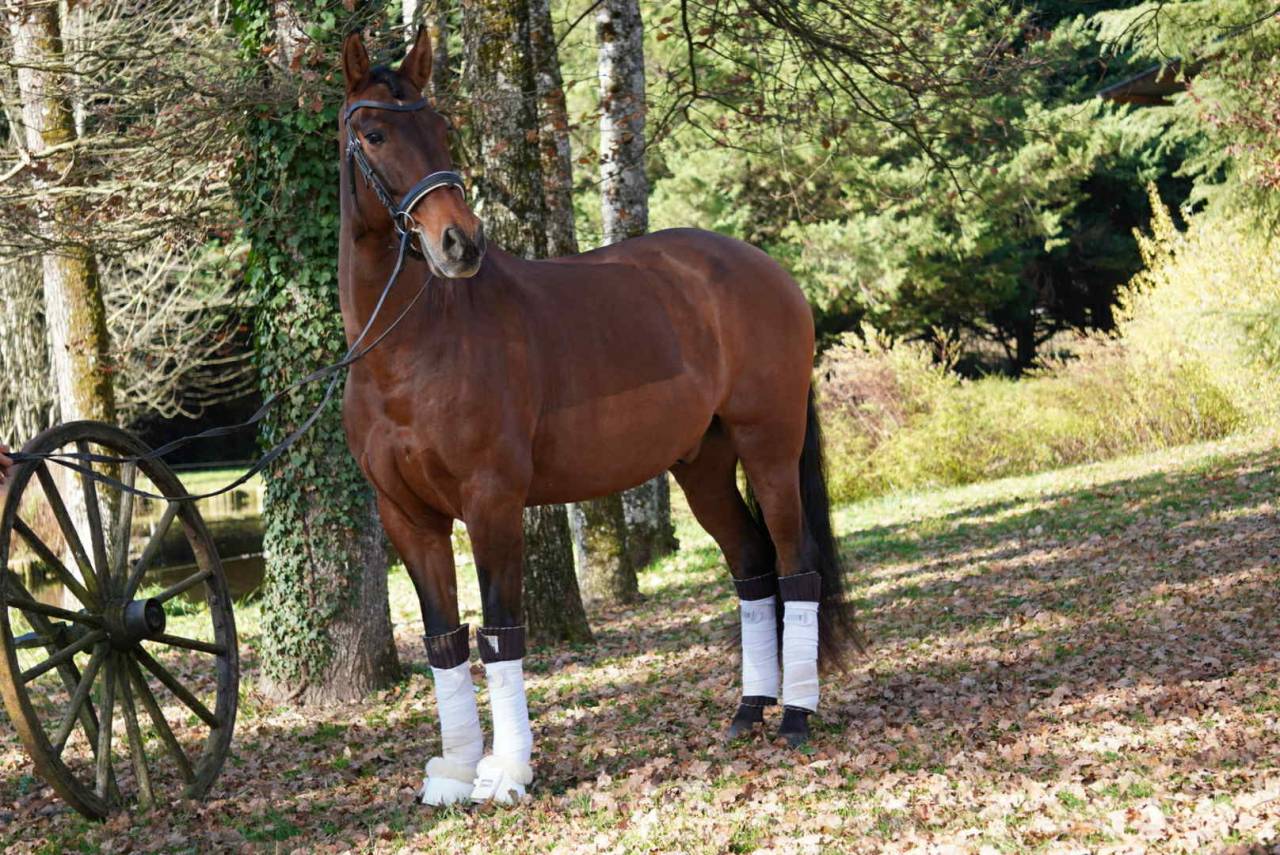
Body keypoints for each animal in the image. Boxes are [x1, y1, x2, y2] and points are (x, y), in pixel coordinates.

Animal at [337, 30, 862, 806]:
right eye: (374, 133)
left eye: (442, 128)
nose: (459, 243)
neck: (410, 348)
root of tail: (768, 270)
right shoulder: (409, 517)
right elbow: (443, 639)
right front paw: (455, 772)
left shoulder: (492, 503)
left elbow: (501, 632)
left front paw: (506, 772)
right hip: (703, 467)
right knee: (752, 567)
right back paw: (748, 711)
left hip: (768, 450)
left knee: (796, 568)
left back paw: (796, 715)